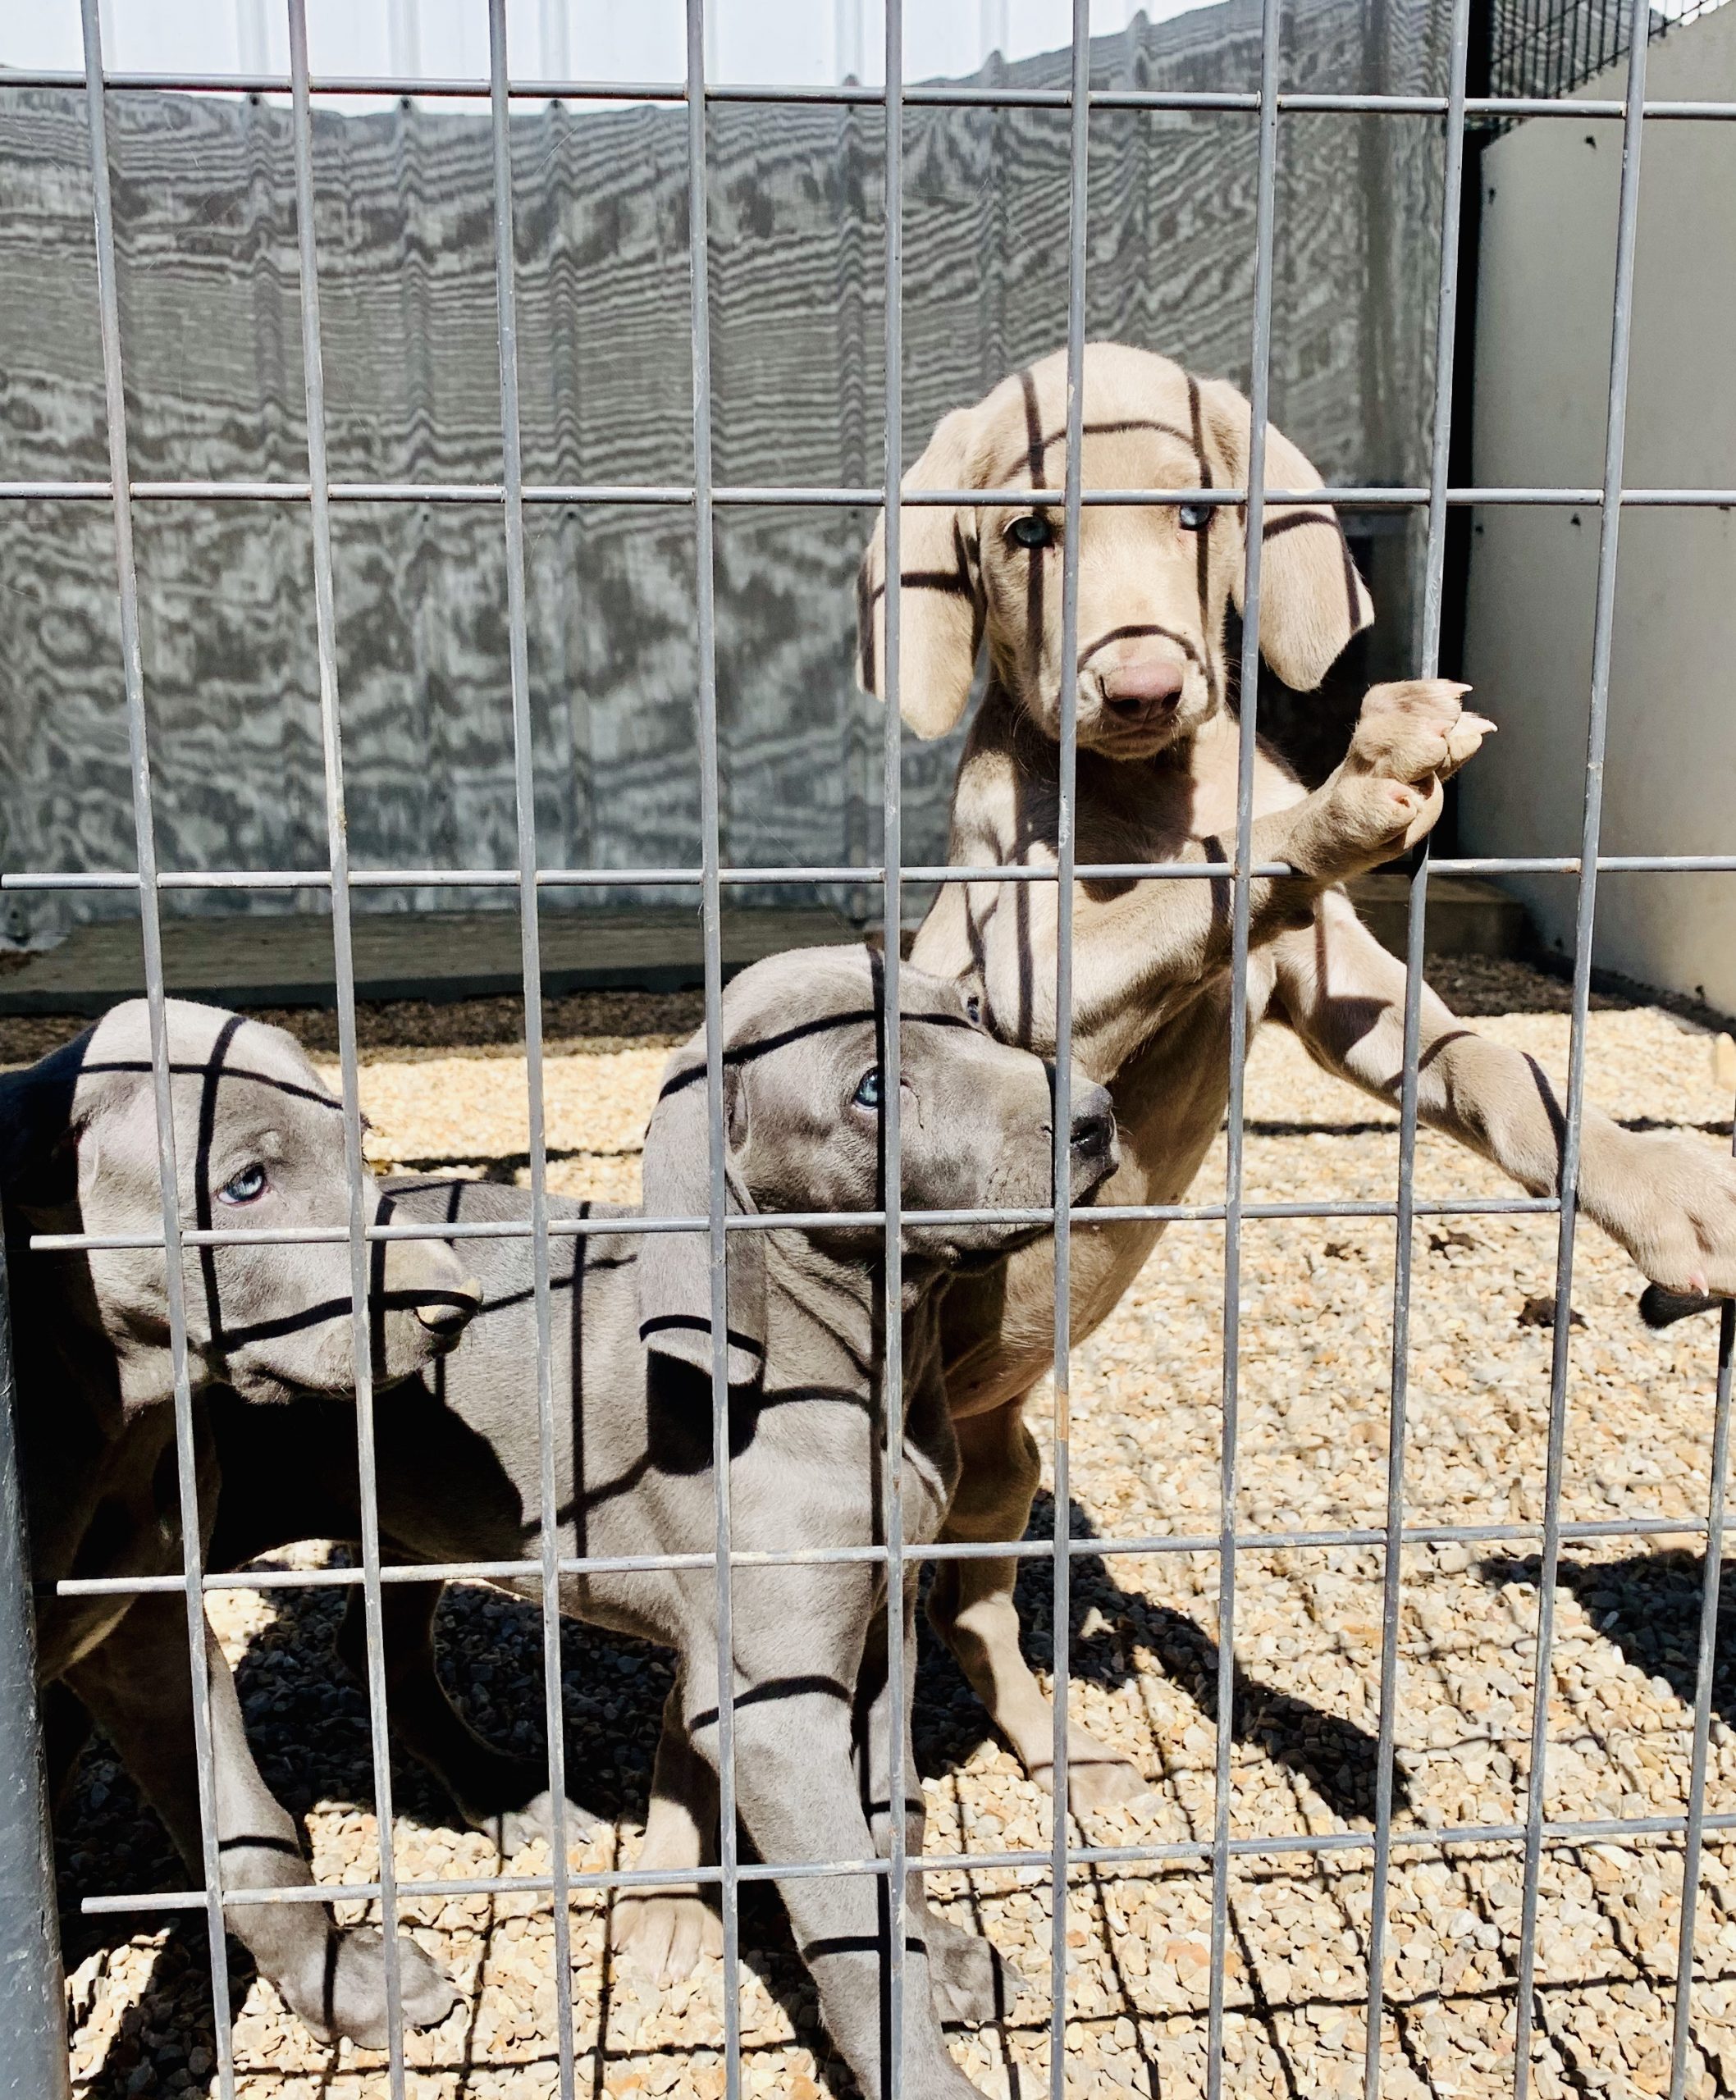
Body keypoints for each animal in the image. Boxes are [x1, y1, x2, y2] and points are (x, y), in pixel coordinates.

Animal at [0, 991, 478, 2041]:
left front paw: (346, 1981)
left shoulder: (142, 1625)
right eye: (247, 1181)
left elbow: (247, 1828)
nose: (456, 1304)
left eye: (357, 1143)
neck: (108, 1415)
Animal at [207, 945, 1117, 2091]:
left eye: (974, 1012)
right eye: (872, 1087)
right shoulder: (774, 1710)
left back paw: (502, 1789)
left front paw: (940, 1949)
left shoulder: (881, 1630)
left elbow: (896, 1821)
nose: (1097, 1115)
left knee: (380, 1650)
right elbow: (848, 1926)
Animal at [843, 336, 1736, 1814]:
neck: (1145, 792)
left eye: (1194, 513)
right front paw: (1349, 791)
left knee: (966, 1608)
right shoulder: (1020, 998)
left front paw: (1672, 1196)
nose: (1143, 688)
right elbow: (1214, 879)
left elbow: (1509, 1081)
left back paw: (1059, 1752)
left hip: (1000, 1462)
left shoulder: (1355, 1005)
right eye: (1031, 533)